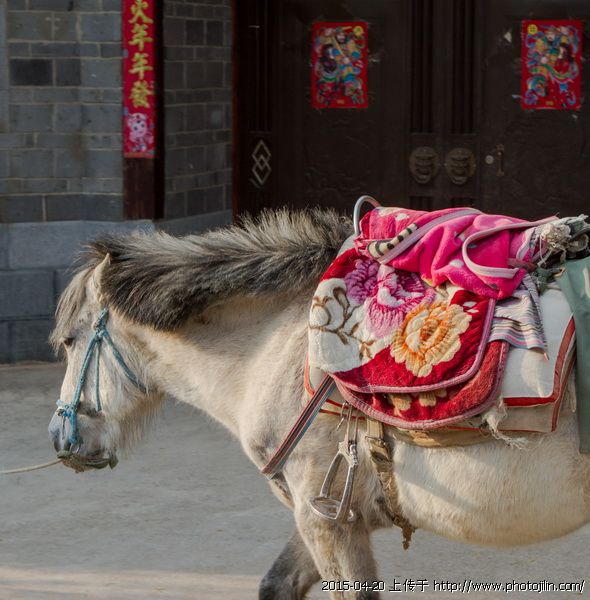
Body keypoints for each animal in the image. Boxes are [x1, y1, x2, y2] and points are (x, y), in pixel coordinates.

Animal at [48, 209, 590, 600]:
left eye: (71, 341)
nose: (60, 437)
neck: (279, 348)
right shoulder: (321, 512)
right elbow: (277, 585)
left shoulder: (326, 519)